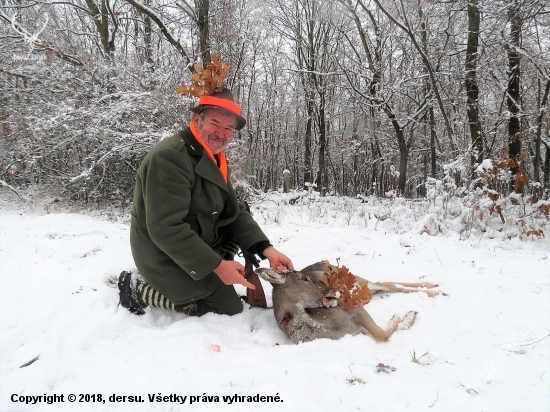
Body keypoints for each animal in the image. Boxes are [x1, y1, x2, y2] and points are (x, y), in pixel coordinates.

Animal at [256, 260, 442, 344]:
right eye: (304, 279)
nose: (332, 291)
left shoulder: (353, 310)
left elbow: (381, 334)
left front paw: (404, 315)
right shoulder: (357, 328)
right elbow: (382, 333)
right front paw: (405, 316)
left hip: (354, 285)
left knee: (385, 284)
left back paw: (433, 287)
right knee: (383, 285)